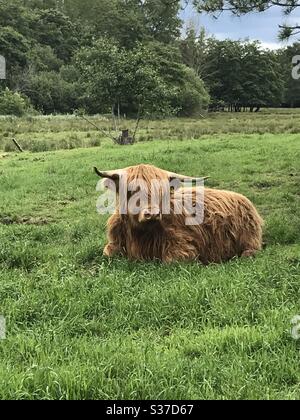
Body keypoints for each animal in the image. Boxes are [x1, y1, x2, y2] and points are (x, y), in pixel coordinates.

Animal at [95, 163, 264, 264]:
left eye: (162, 191)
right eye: (131, 191)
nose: (152, 214)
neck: (139, 235)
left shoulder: (184, 247)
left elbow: (171, 260)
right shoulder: (115, 242)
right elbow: (107, 252)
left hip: (250, 237)